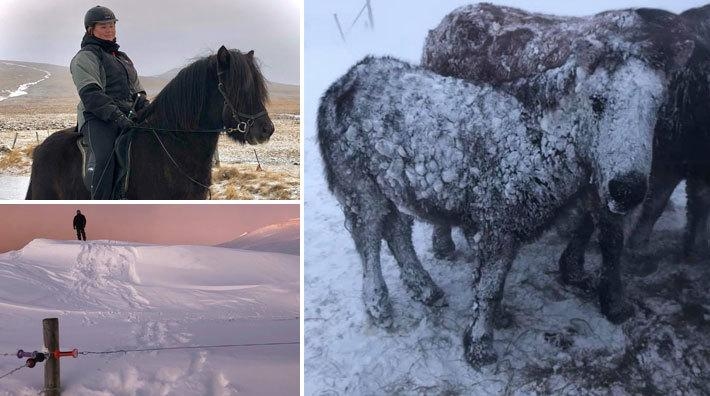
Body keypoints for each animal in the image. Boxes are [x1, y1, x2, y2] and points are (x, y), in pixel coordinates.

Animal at [320, 46, 672, 366]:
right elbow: (488, 287)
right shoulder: (496, 223)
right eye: (597, 101)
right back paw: (379, 304)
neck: (544, 141)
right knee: (368, 238)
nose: (627, 190)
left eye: (656, 107)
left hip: (395, 185)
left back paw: (425, 288)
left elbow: (495, 283)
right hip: (358, 184)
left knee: (397, 230)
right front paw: (480, 346)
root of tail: (344, 81)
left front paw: (497, 318)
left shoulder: (506, 224)